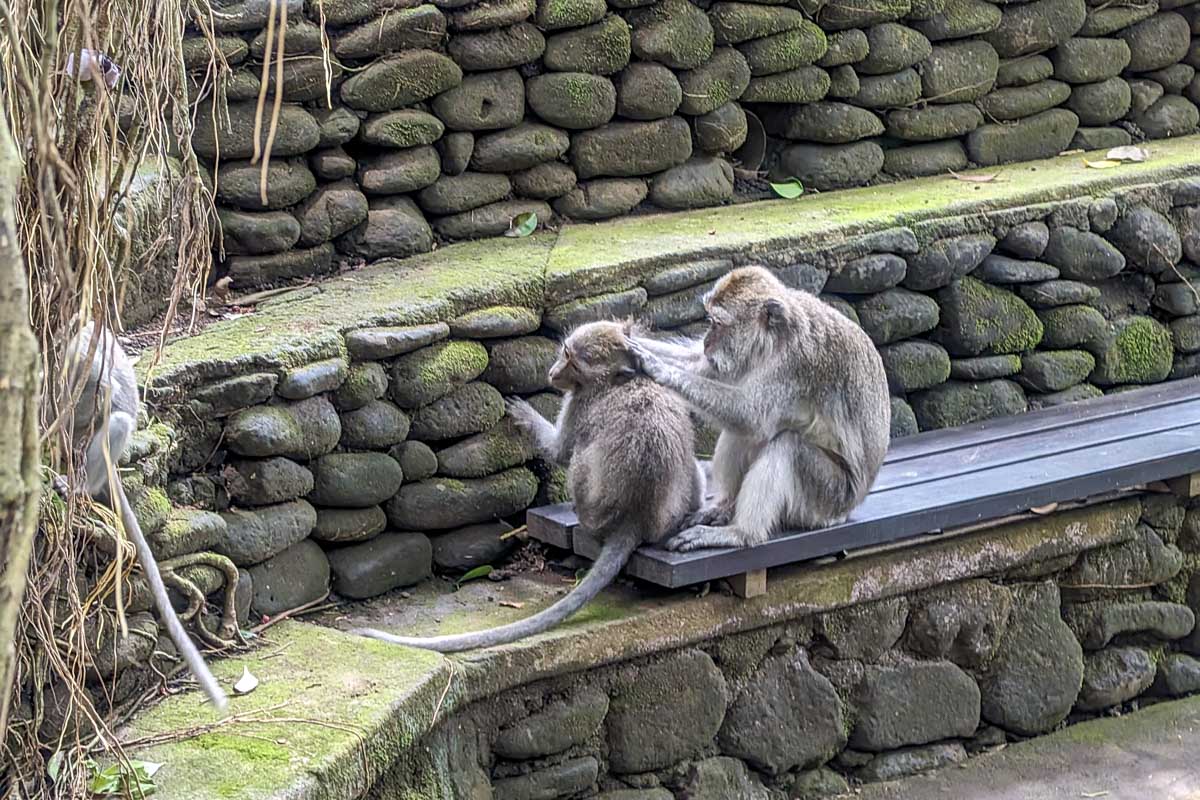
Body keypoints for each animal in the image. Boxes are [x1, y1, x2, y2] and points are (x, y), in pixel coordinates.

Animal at [352, 320, 705, 653]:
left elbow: (560, 452)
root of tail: (634, 520)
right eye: (564, 352)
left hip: (595, 514)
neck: (620, 378)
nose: (553, 372)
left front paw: (525, 413)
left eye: (570, 359)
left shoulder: (579, 400)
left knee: (579, 455)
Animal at [625, 265, 891, 552]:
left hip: (827, 499)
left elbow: (752, 416)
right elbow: (704, 368)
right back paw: (724, 506)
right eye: (710, 322)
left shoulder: (797, 363)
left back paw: (741, 534)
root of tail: (850, 508)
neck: (774, 341)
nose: (707, 341)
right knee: (743, 435)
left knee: (786, 444)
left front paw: (659, 368)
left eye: (718, 323)